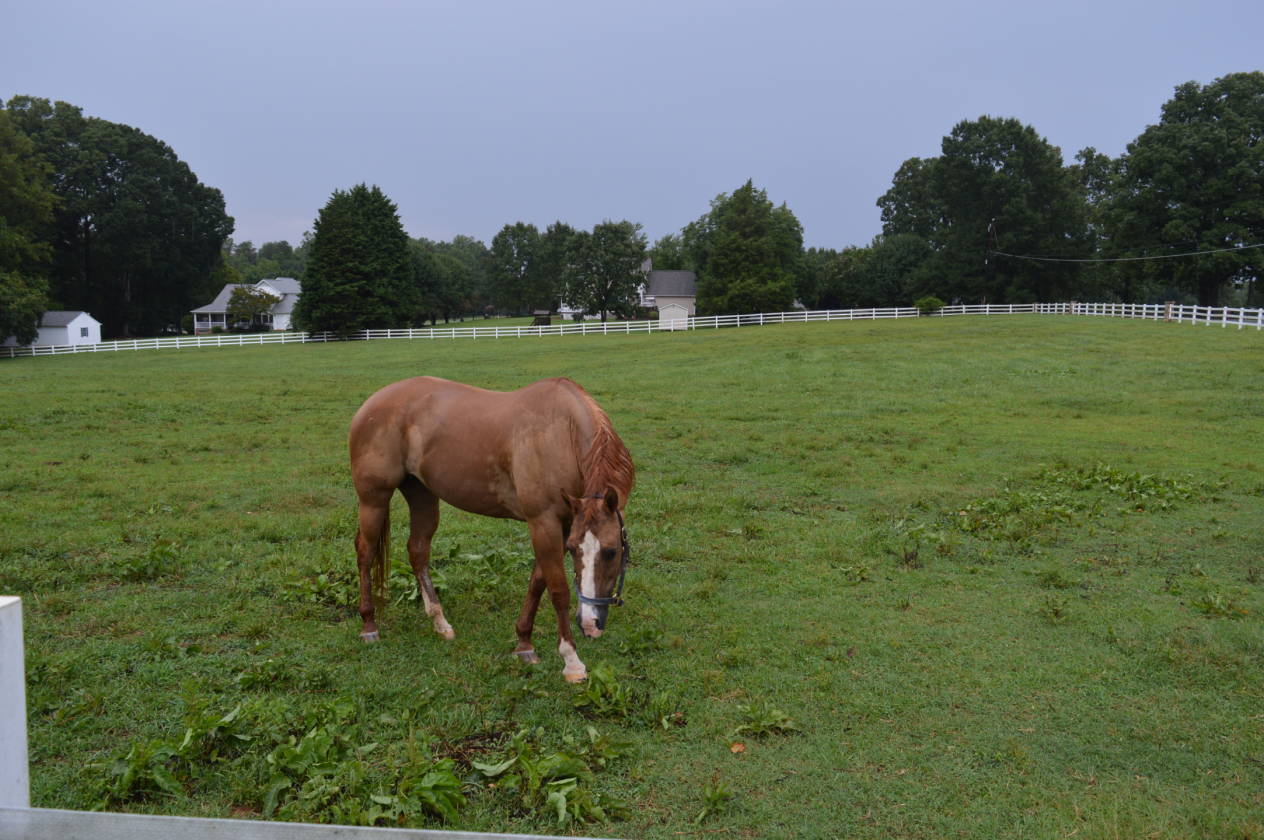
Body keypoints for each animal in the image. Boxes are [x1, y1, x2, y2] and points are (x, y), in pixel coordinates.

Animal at [348, 376, 635, 682]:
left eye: (612, 551)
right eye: (574, 550)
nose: (589, 623)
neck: (560, 434)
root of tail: (372, 403)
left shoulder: (564, 523)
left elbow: (538, 582)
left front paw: (524, 643)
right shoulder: (543, 522)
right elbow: (558, 590)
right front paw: (571, 661)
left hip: (422, 495)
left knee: (418, 551)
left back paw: (439, 621)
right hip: (374, 500)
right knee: (365, 553)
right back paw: (369, 625)